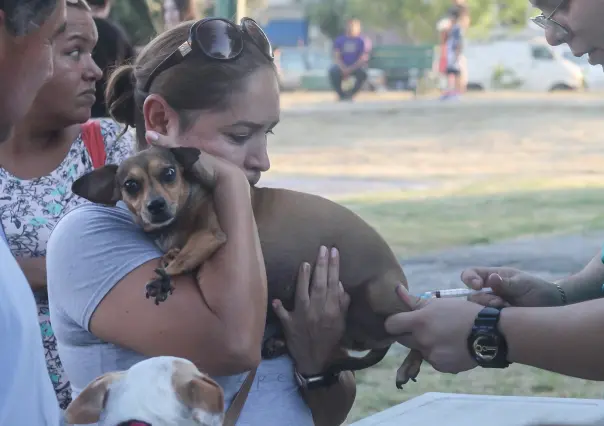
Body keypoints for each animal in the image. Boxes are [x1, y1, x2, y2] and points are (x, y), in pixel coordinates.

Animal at [73, 146, 422, 390]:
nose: (156, 205)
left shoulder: (211, 235)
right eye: (131, 185)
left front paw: (166, 276)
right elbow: (174, 254)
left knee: (415, 327)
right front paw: (167, 260)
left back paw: (410, 362)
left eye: (169, 173)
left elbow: (184, 257)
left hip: (383, 299)